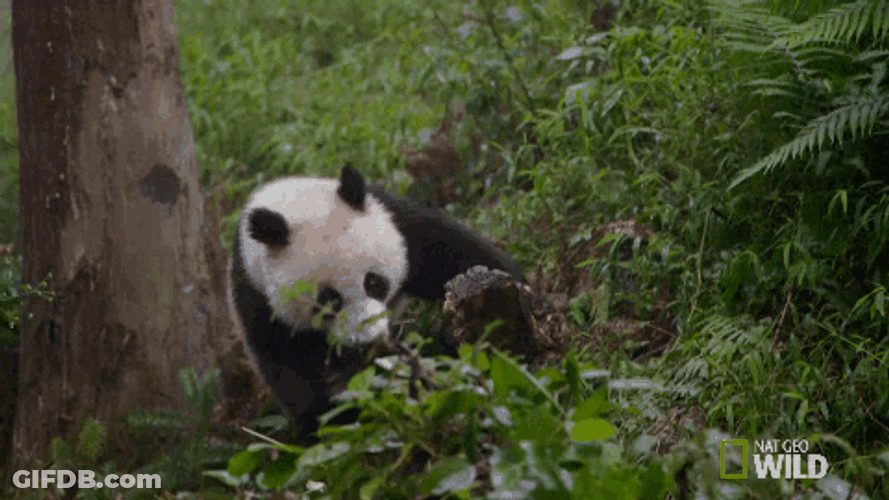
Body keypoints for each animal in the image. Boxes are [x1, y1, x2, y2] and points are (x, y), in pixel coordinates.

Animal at [228, 164, 524, 439]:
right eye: (330, 301)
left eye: (373, 283)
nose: (368, 340)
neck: (291, 202)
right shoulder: (256, 300)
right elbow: (291, 373)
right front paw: (339, 416)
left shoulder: (398, 225)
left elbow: (457, 254)